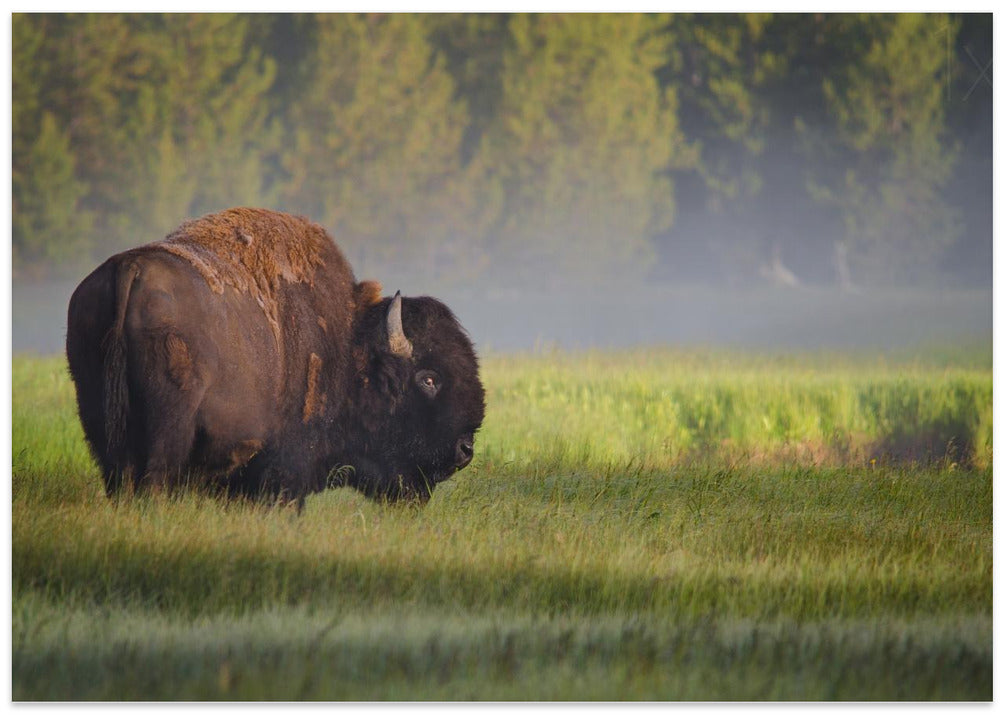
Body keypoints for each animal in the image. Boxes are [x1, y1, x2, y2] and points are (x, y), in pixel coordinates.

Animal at [66, 207, 485, 505]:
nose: (465, 450)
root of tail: (130, 268)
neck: (347, 342)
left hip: (99, 420)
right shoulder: (286, 468)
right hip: (168, 429)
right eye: (428, 378)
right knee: (153, 481)